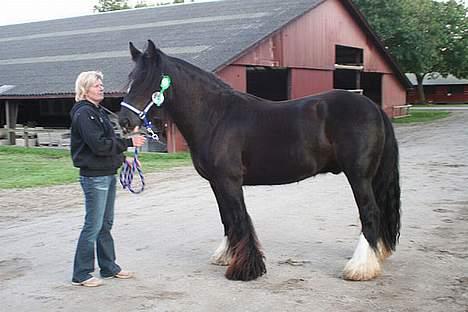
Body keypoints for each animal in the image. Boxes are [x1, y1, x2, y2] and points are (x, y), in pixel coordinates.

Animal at [119, 40, 400, 282]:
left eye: (149, 80)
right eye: (131, 78)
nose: (124, 121)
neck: (216, 116)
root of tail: (373, 107)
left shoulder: (230, 181)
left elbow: (240, 218)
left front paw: (245, 269)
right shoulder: (216, 183)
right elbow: (227, 218)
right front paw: (227, 256)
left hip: (358, 176)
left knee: (370, 212)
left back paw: (360, 267)